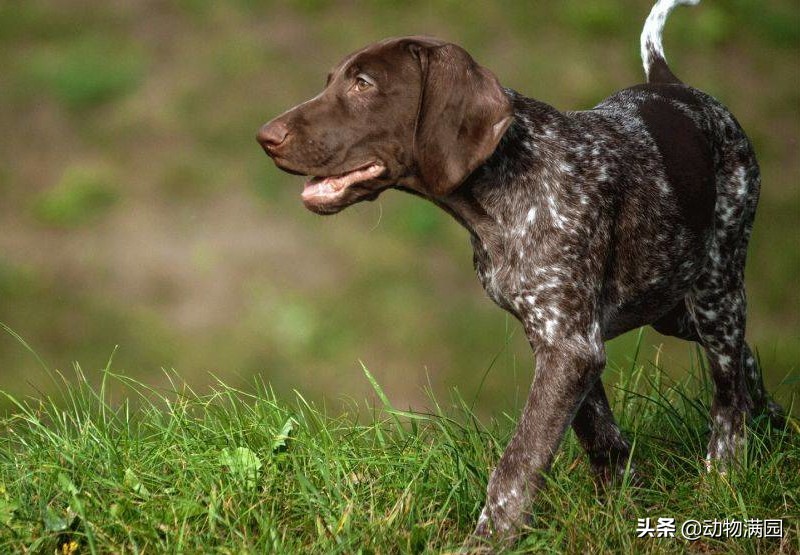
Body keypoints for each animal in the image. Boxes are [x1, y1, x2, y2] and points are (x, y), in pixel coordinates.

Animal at [256, 0, 780, 544]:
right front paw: (619, 512)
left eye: (364, 83)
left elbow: (519, 460)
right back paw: (771, 422)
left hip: (715, 285)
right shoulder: (562, 339)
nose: (265, 137)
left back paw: (724, 477)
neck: (505, 184)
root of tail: (674, 85)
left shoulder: (570, 346)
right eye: (332, 81)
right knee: (743, 361)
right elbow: (600, 435)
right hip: (670, 302)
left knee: (727, 394)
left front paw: (488, 540)